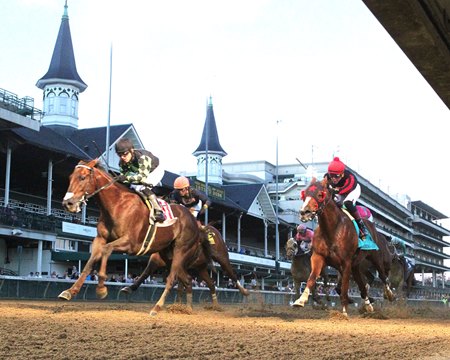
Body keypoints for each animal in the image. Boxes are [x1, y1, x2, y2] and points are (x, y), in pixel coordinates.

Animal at [59, 160, 202, 316]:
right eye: (70, 177)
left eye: (82, 177)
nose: (67, 203)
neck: (117, 205)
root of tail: (194, 220)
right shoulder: (100, 239)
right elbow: (90, 262)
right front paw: (70, 291)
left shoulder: (131, 244)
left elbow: (106, 250)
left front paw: (101, 288)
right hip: (168, 254)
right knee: (187, 279)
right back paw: (187, 308)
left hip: (180, 250)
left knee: (172, 278)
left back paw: (157, 307)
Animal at [119, 225, 250, 306]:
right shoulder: (157, 260)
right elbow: (145, 273)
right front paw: (128, 288)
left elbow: (180, 282)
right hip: (201, 268)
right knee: (211, 283)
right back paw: (216, 305)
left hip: (222, 257)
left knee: (231, 273)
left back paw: (244, 290)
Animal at [294, 176, 392, 316]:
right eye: (304, 194)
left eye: (320, 194)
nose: (304, 212)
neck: (332, 230)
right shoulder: (318, 257)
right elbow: (312, 278)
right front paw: (300, 300)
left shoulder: (346, 263)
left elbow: (345, 287)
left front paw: (344, 313)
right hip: (356, 265)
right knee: (362, 284)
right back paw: (368, 305)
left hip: (376, 257)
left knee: (383, 275)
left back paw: (389, 293)